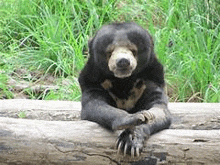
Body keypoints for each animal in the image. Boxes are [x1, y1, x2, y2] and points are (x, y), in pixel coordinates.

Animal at [78, 22, 171, 157]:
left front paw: (130, 141)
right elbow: (95, 105)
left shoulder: (150, 80)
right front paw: (134, 118)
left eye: (133, 50)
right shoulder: (94, 81)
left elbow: (158, 110)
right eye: (110, 51)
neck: (123, 81)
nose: (123, 62)